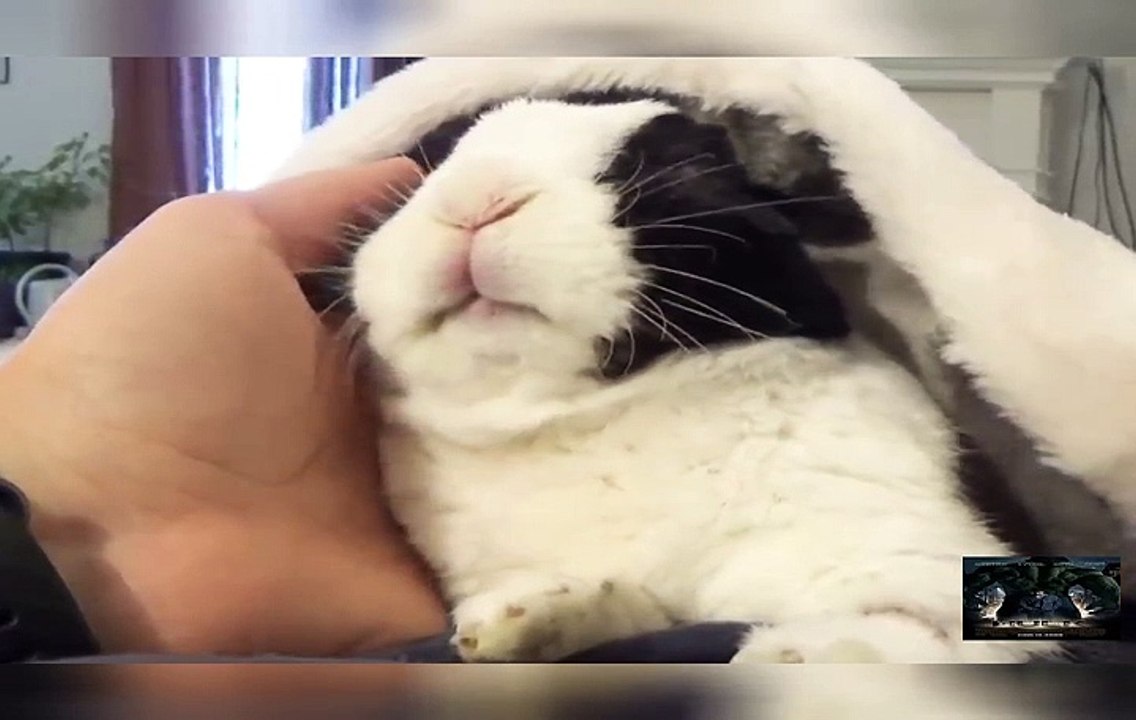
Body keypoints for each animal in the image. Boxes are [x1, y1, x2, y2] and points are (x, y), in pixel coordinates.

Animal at [346, 93, 1065, 664]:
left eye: (671, 169)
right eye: (429, 167)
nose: (476, 199)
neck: (584, 420)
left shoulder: (924, 569)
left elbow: (906, 635)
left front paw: (786, 657)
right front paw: (524, 616)